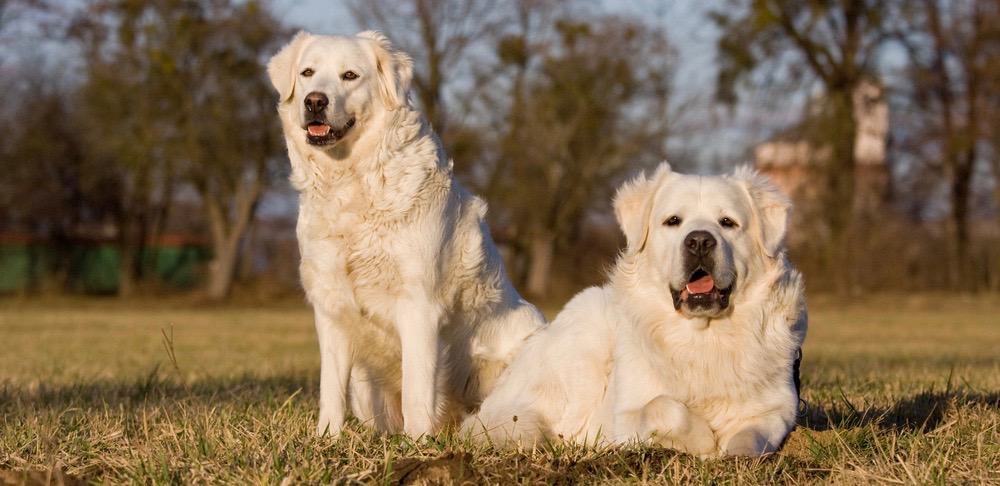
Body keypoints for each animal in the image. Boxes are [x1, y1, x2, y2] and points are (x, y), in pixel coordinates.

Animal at [270, 32, 544, 438]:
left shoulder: (419, 305)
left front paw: (417, 443)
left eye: (350, 75)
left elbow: (417, 388)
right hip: (365, 388)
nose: (315, 101)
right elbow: (329, 390)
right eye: (307, 73)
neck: (353, 179)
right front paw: (326, 439)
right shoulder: (331, 309)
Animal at [466, 163, 804, 456]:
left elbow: (750, 437)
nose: (699, 241)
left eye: (728, 223)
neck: (702, 335)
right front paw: (704, 443)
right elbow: (665, 408)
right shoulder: (622, 418)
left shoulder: (776, 411)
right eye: (673, 221)